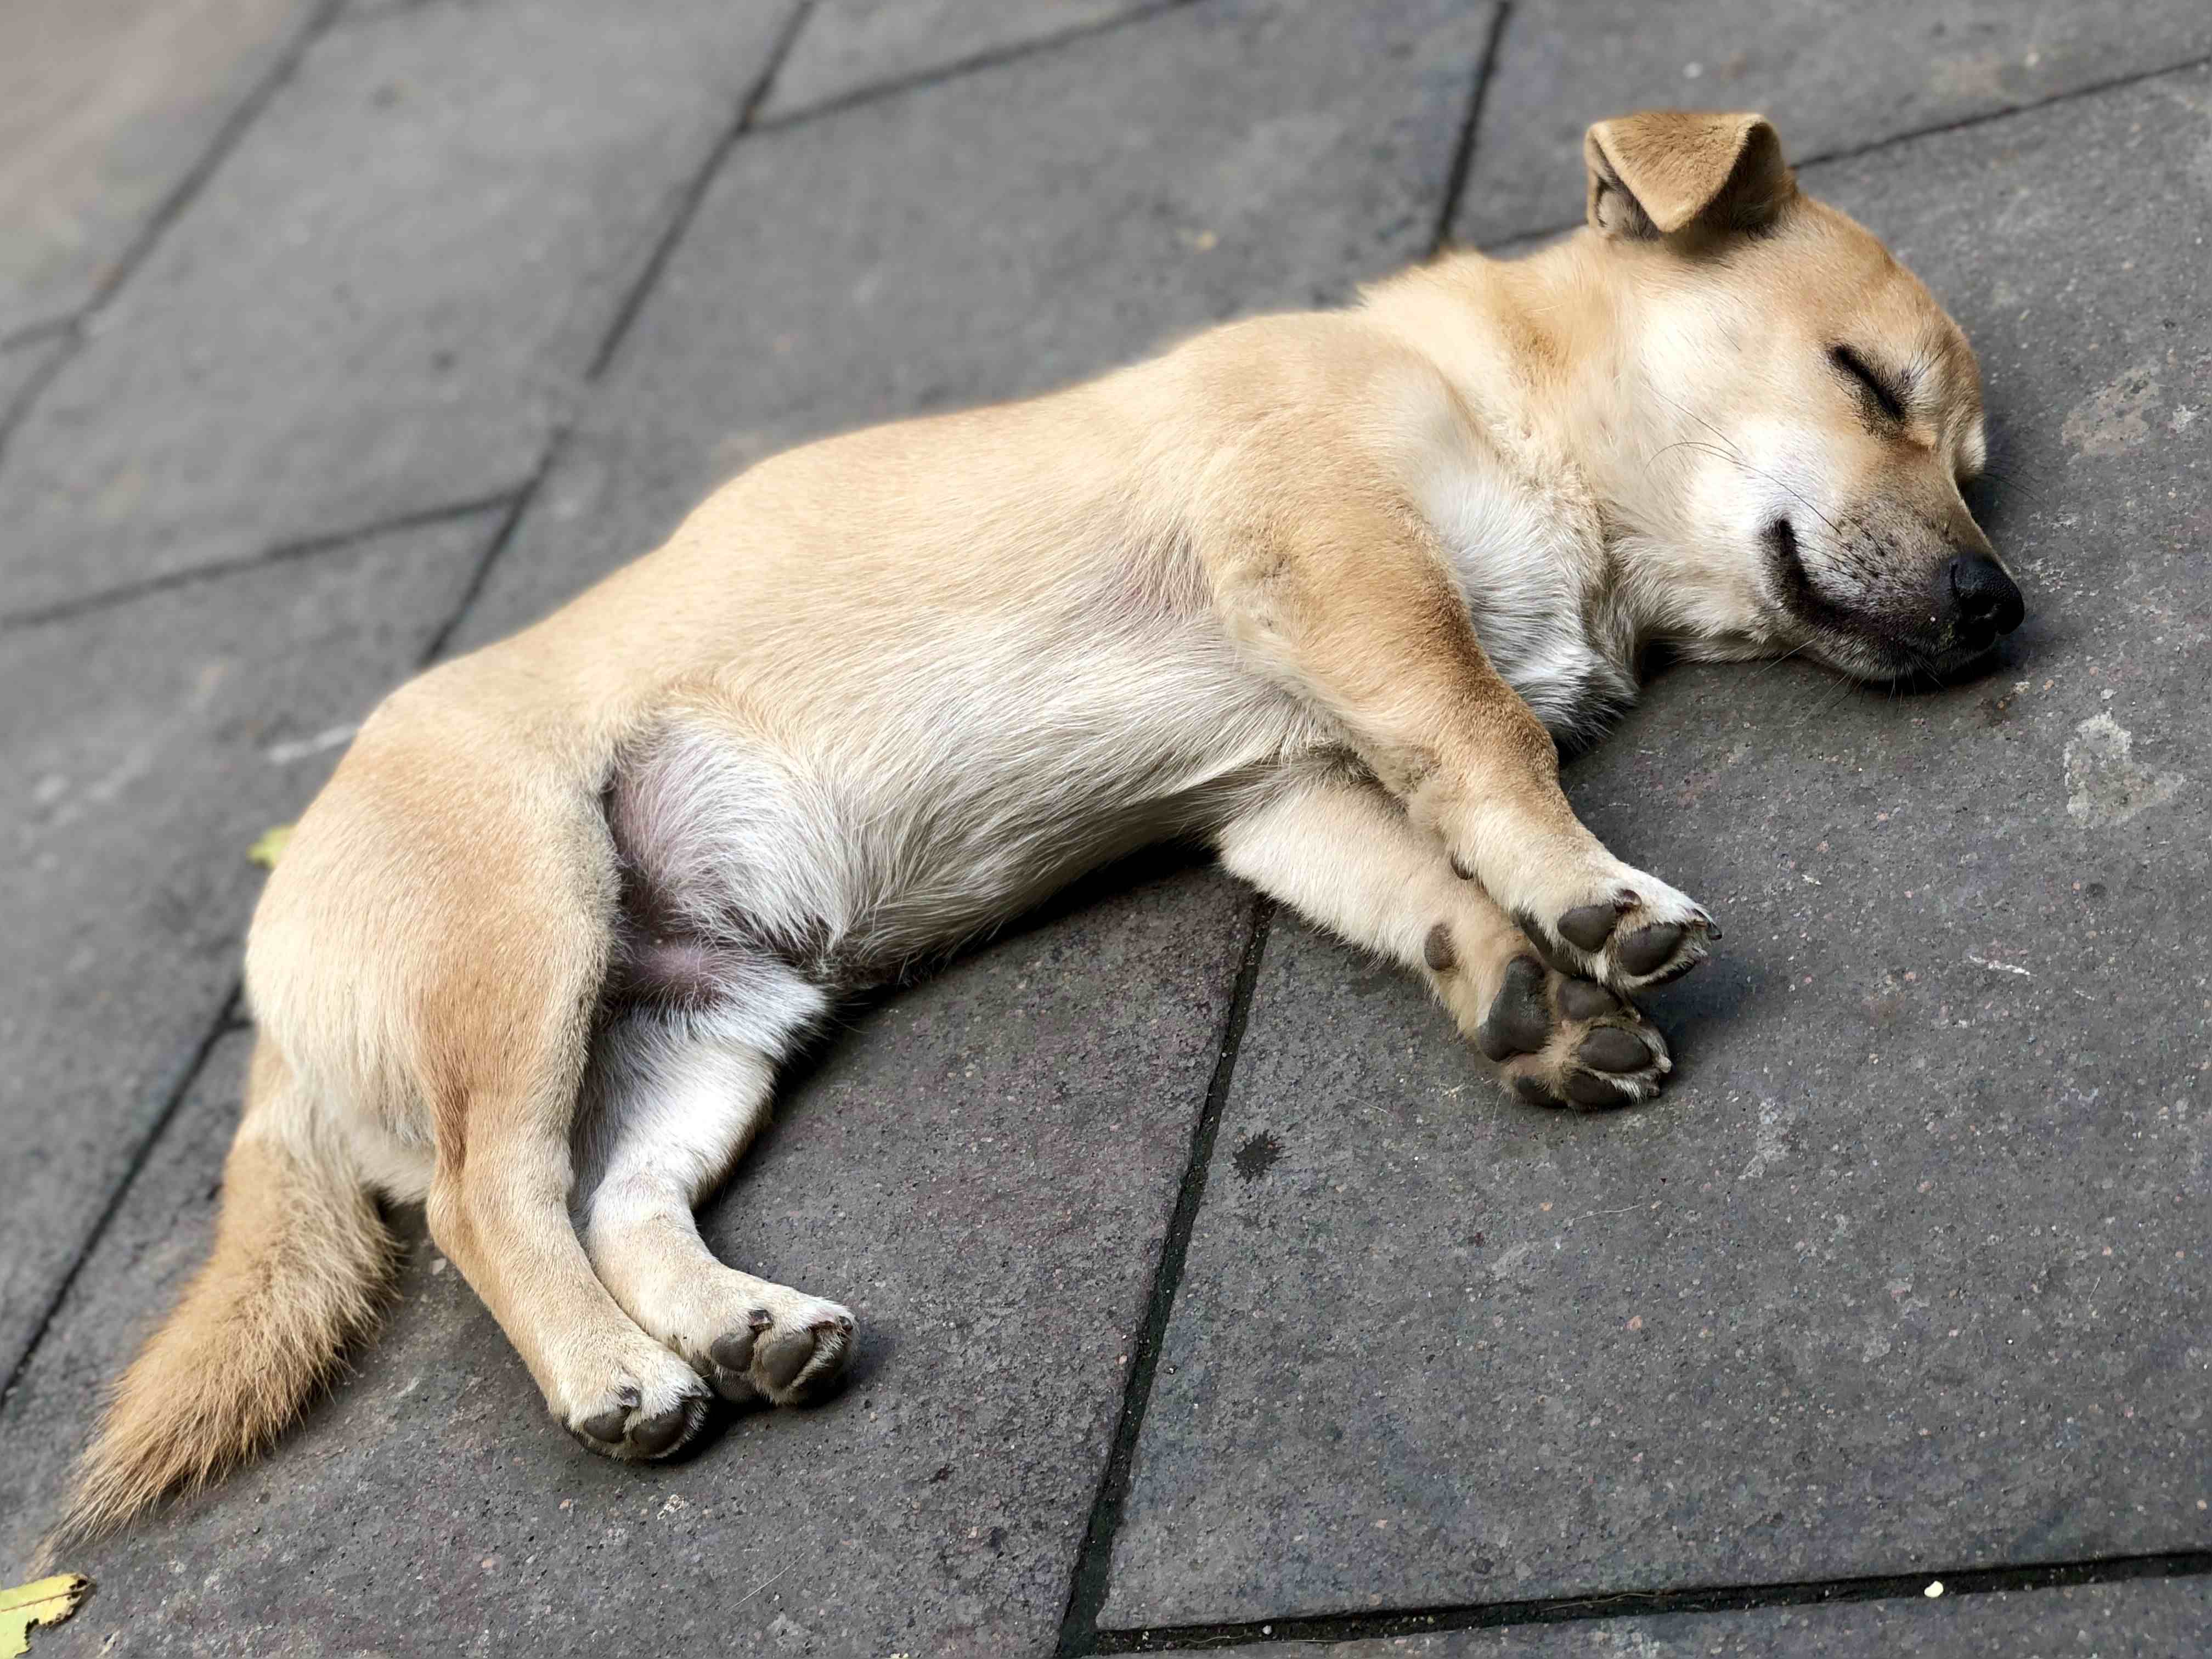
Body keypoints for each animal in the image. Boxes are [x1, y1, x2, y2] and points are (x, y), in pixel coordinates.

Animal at [56, 114, 2026, 1548]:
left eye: (1974, 468)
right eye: (1869, 386)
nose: (2000, 604)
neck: (1517, 423)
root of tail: (272, 986)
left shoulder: (1285, 791)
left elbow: (1418, 877)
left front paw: (1517, 992)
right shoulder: (1338, 555)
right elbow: (1491, 747)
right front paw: (1589, 896)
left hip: (705, 1015)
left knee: (613, 1194)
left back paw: (734, 1326)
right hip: (526, 930)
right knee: (488, 1197)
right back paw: (613, 1375)